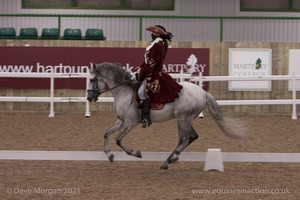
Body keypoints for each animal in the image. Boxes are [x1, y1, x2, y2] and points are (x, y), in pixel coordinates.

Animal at [86, 62, 248, 169]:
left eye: (92, 80)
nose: (89, 97)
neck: (123, 92)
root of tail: (203, 93)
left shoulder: (130, 123)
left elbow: (118, 140)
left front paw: (136, 153)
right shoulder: (121, 121)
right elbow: (106, 134)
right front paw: (109, 155)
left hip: (183, 118)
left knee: (192, 136)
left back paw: (171, 159)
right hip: (182, 119)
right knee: (183, 139)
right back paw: (169, 160)